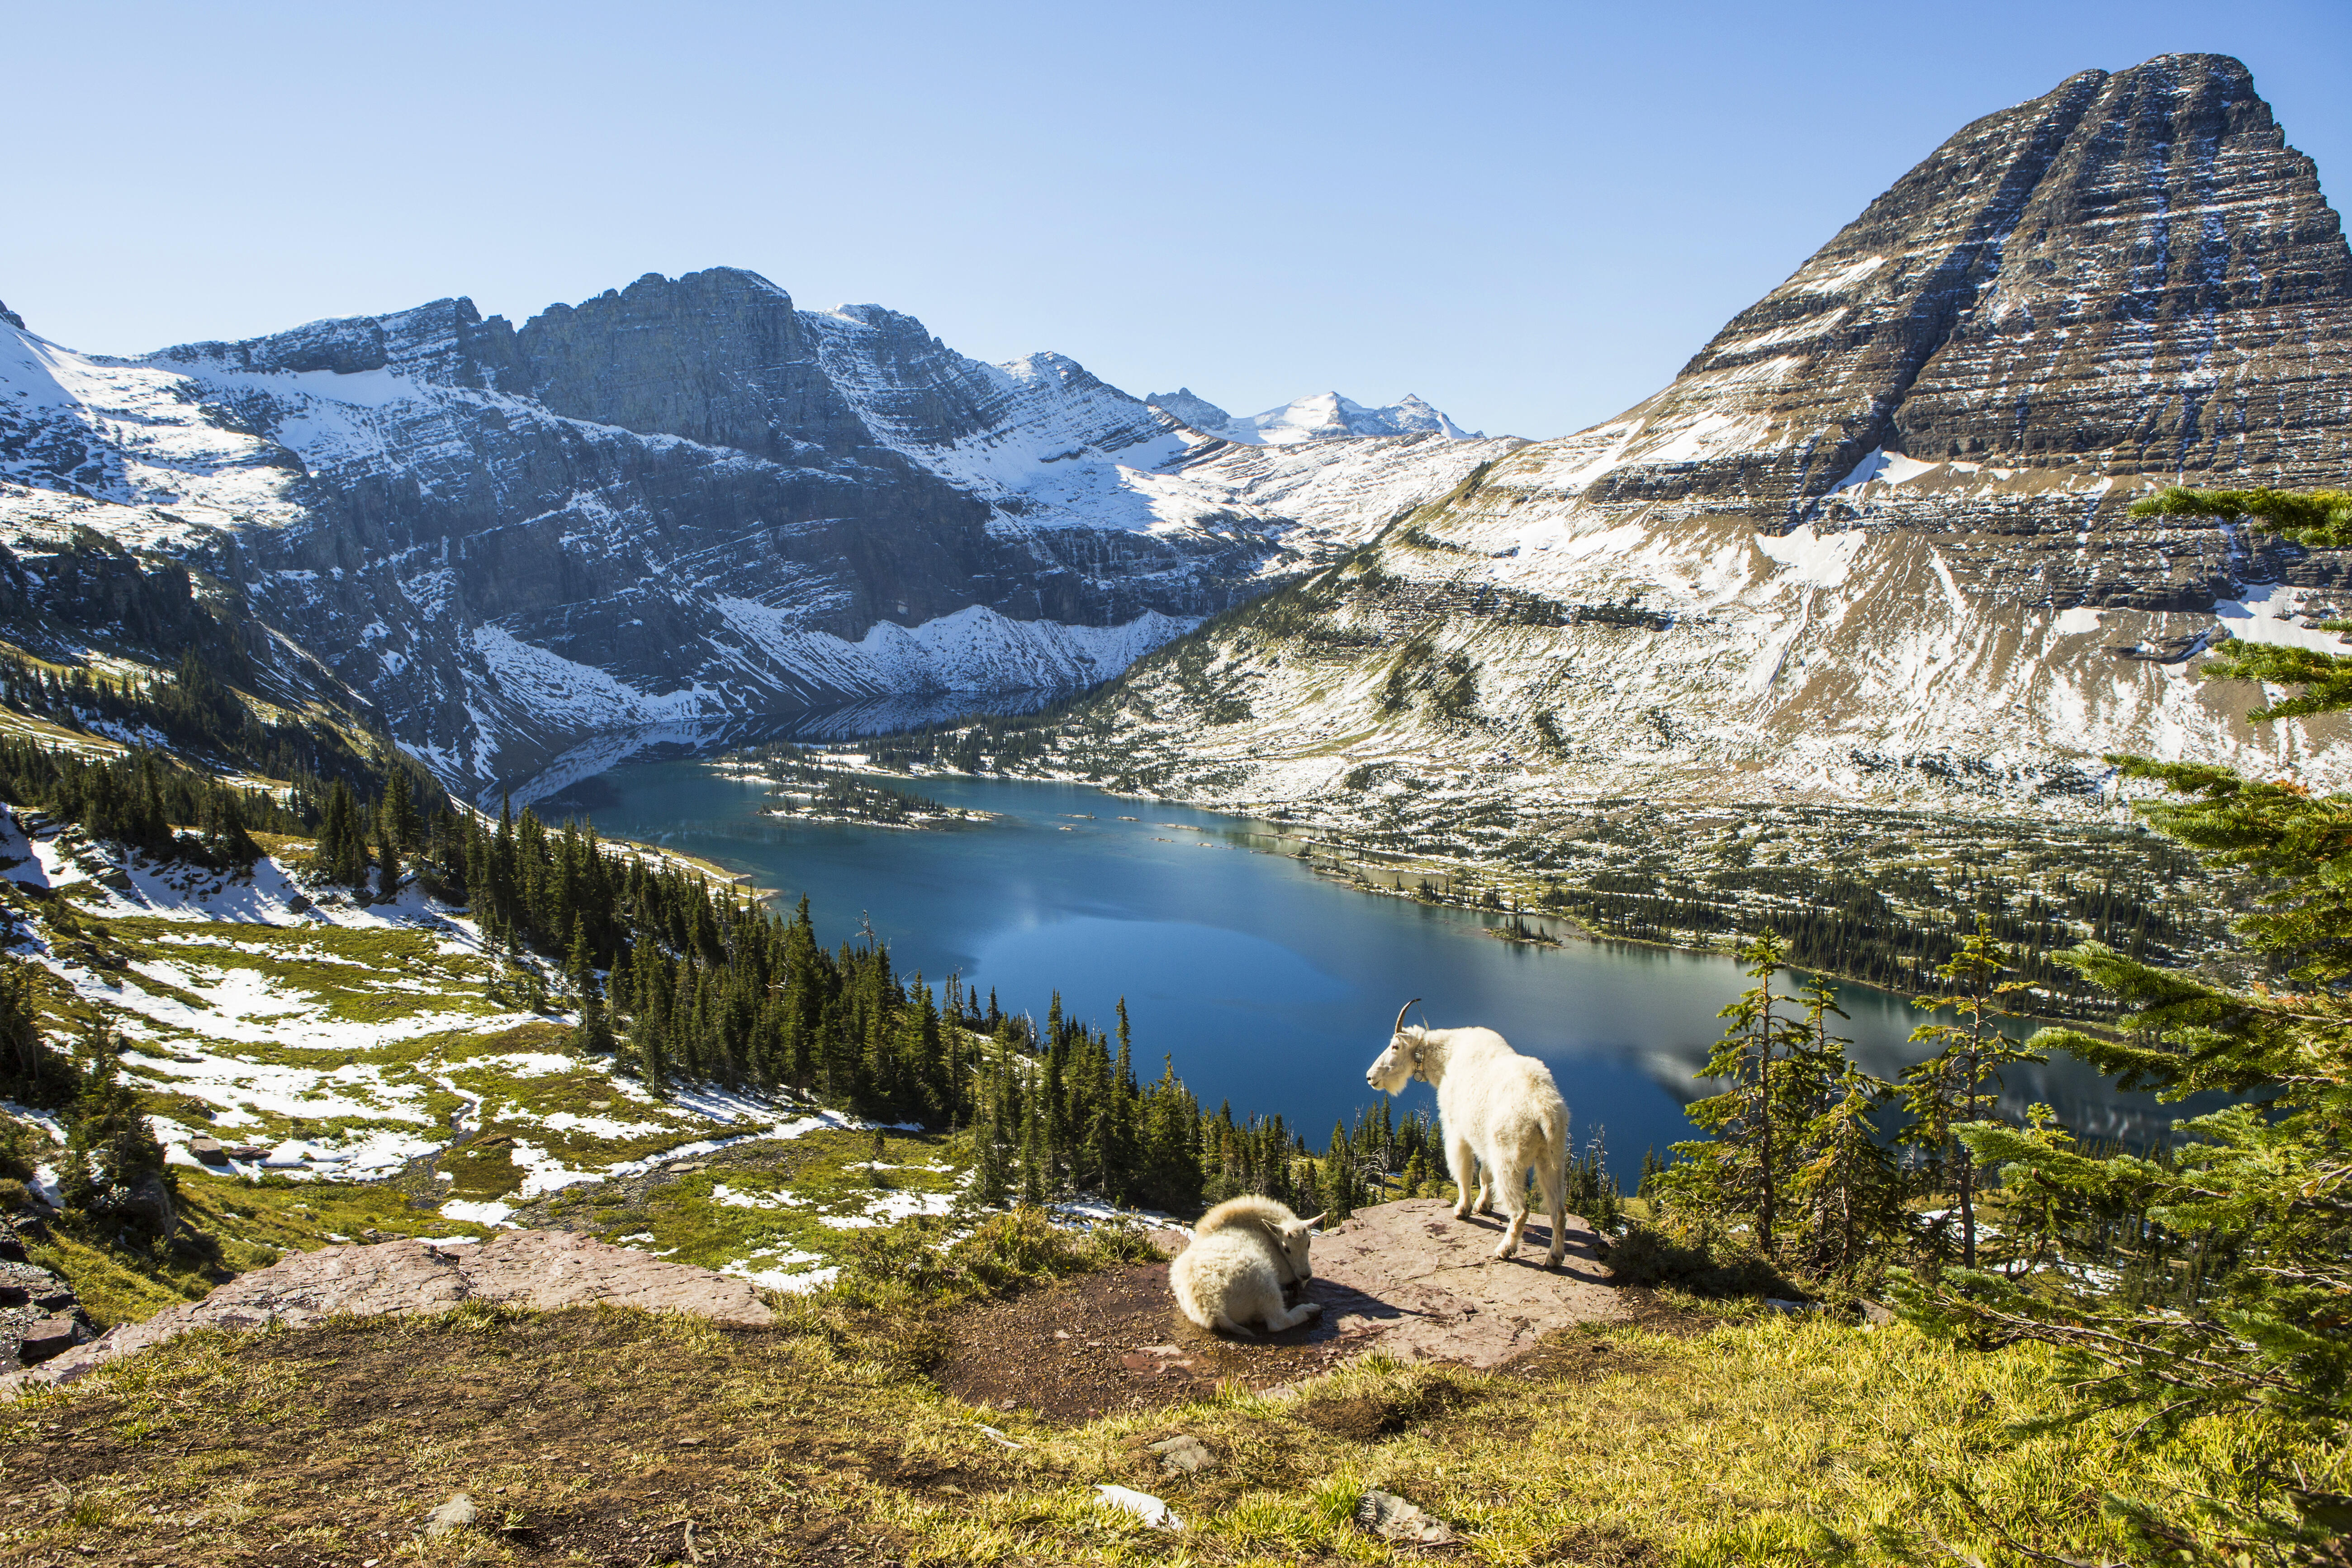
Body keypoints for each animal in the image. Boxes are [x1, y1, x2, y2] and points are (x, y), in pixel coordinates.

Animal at [1171, 1203, 1326, 1335]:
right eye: (1287, 1248)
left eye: (1309, 1243)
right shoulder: (1284, 1269)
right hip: (1264, 1281)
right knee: (1278, 1322)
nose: (1306, 1274)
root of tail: (1213, 1310)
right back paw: (1310, 1310)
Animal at [1373, 1001, 1571, 1269]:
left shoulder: (1457, 1130)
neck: (1446, 1059)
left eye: (1395, 1046)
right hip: (1552, 1158)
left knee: (1521, 1210)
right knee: (1559, 1210)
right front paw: (1483, 1206)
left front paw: (1463, 1209)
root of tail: (1544, 1109)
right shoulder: (1482, 1138)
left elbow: (1464, 1171)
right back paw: (1554, 1257)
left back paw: (1505, 1250)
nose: (1370, 1077)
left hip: (1509, 1158)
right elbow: (1485, 1175)